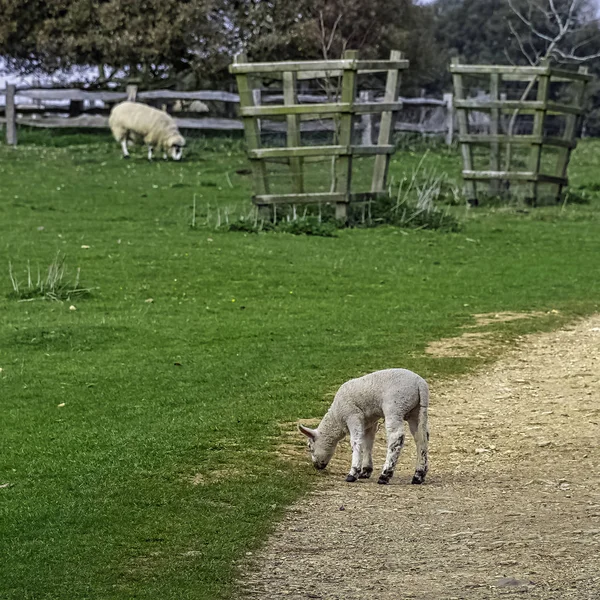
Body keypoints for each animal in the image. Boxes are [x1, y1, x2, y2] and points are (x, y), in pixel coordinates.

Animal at [298, 368, 428, 486]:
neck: (336, 418)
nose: (316, 466)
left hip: (395, 407)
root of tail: (419, 383)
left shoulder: (353, 415)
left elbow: (356, 441)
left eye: (309, 446)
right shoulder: (369, 422)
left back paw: (385, 475)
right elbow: (367, 443)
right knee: (422, 438)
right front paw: (366, 470)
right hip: (417, 410)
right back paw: (419, 475)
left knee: (396, 437)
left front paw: (353, 472)